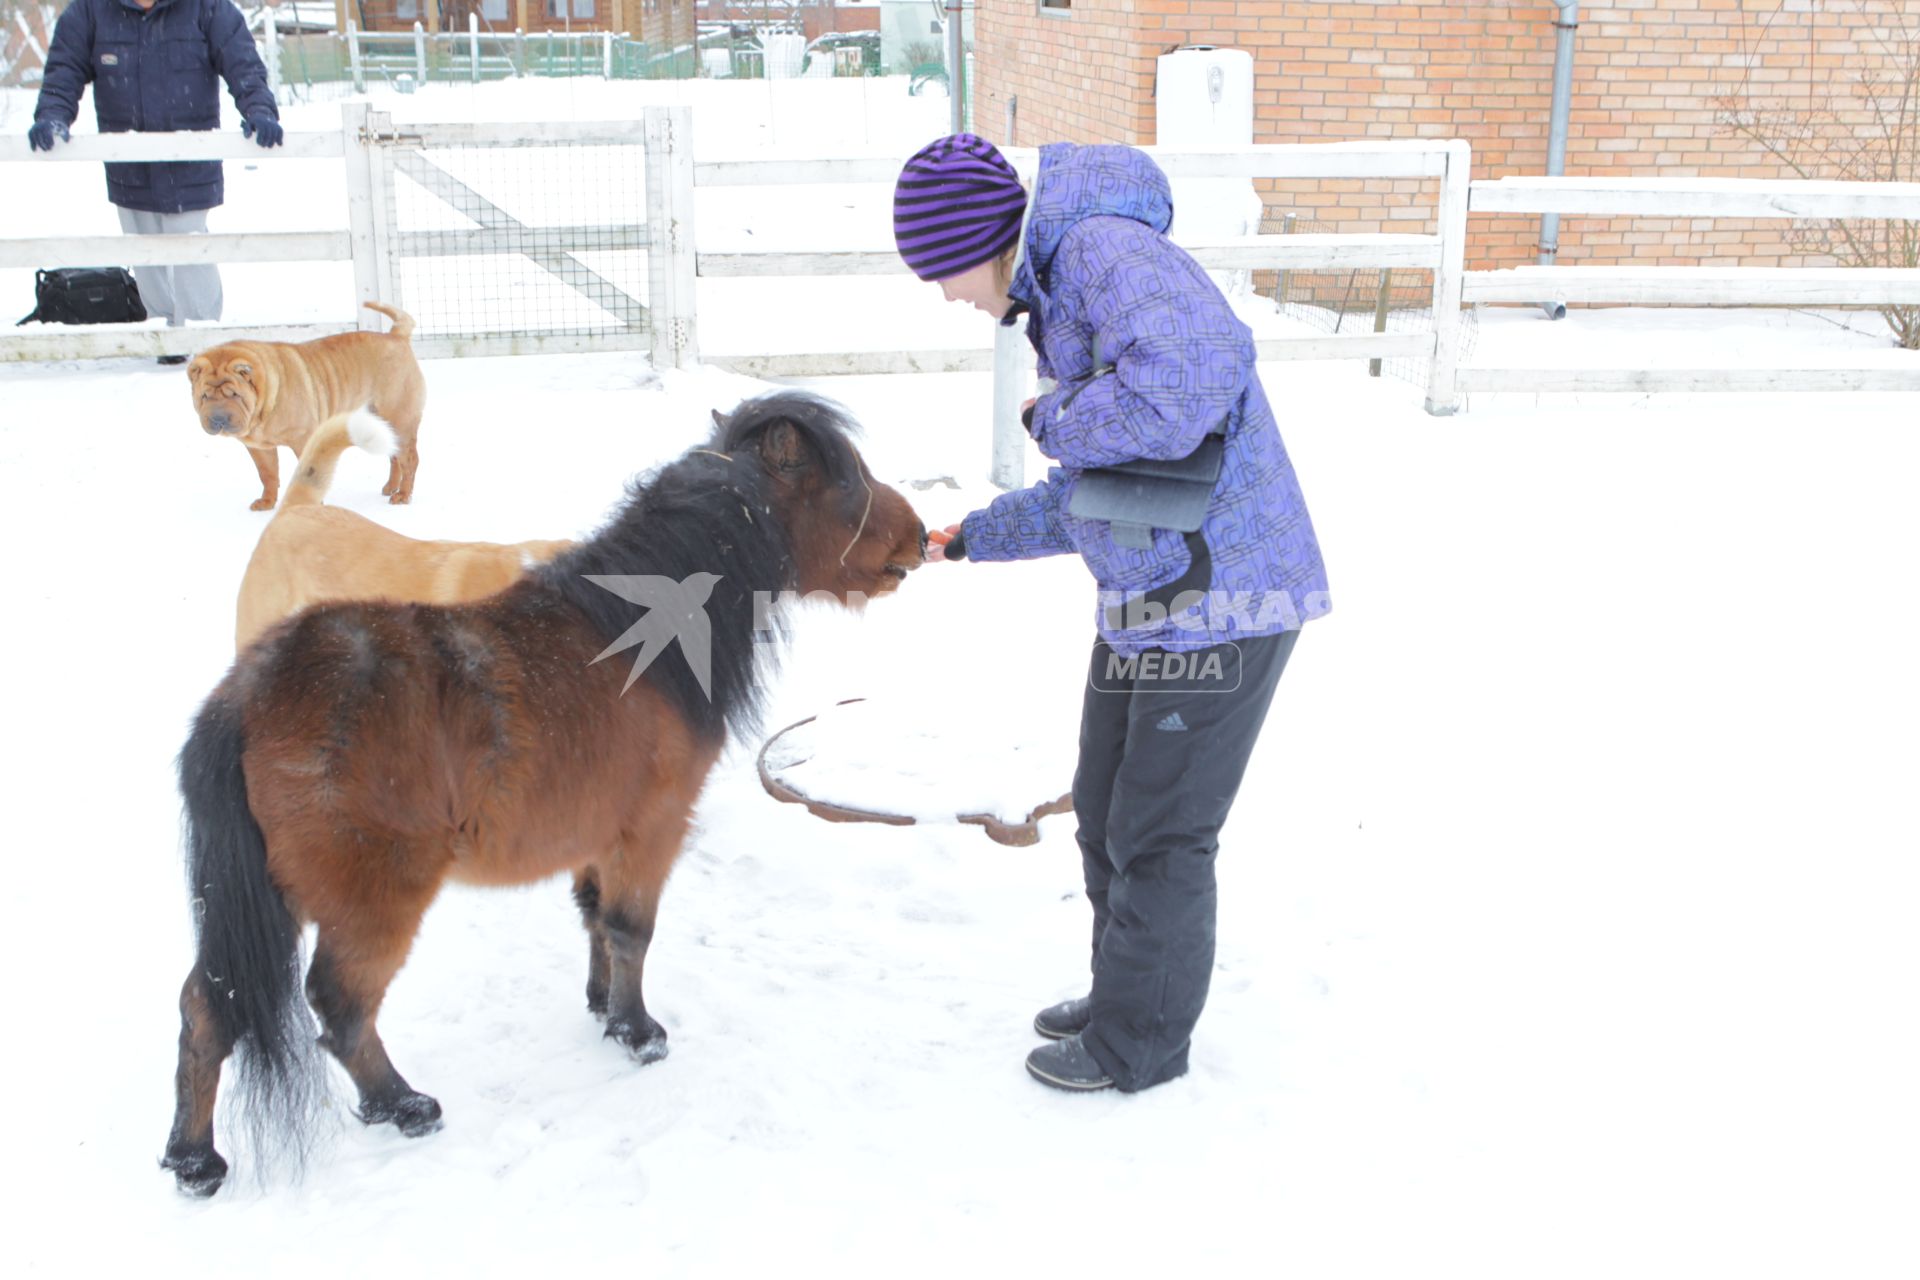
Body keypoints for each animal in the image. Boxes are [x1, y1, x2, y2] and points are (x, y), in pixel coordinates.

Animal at [188, 303, 428, 514]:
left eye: (235, 395)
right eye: (204, 396)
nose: (218, 419)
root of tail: (397, 336)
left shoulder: (303, 439)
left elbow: (309, 474)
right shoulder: (259, 449)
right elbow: (267, 474)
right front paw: (266, 502)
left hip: (400, 418)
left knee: (409, 458)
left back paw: (402, 495)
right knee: (395, 456)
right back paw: (391, 487)